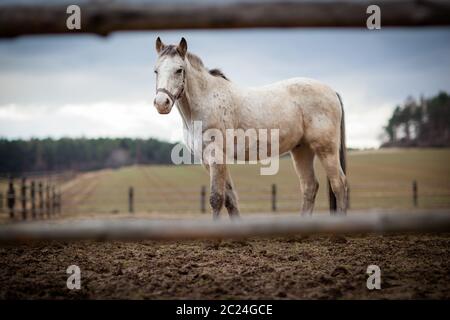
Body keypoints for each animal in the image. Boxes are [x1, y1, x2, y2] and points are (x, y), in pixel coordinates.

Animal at [154, 37, 348, 218]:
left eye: (179, 70)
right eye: (156, 70)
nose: (161, 103)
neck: (206, 101)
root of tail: (332, 91)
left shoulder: (216, 157)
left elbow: (217, 198)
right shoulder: (207, 160)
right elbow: (230, 199)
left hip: (326, 149)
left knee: (339, 184)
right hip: (302, 149)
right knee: (310, 186)